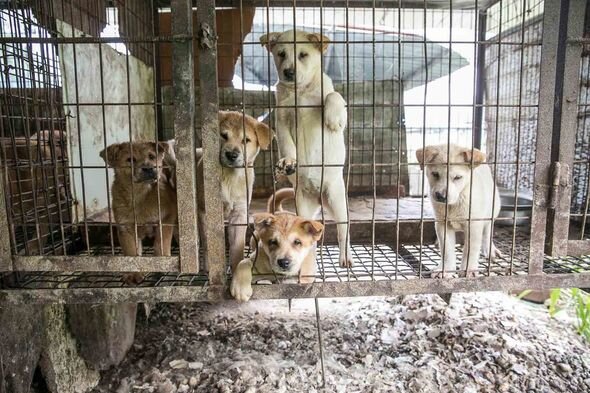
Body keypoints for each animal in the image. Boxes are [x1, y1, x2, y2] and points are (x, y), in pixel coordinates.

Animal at [100, 141, 178, 282]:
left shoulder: (166, 218)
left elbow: (161, 243)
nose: (149, 168)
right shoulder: (126, 228)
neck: (140, 194)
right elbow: (131, 253)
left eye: (151, 156)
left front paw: (163, 263)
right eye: (130, 159)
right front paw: (133, 274)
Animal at [262, 28, 354, 266]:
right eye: (281, 54)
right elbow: (287, 144)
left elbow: (334, 95)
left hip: (337, 201)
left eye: (303, 55)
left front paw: (333, 118)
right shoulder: (282, 120)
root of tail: (317, 197)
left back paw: (345, 257)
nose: (289, 72)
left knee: (343, 232)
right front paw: (288, 162)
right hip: (302, 203)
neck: (300, 91)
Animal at [416, 144, 504, 276]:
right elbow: (446, 250)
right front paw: (445, 269)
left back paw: (490, 250)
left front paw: (469, 270)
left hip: (494, 208)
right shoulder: (442, 224)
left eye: (458, 177)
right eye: (435, 174)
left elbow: (470, 250)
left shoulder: (474, 226)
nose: (441, 196)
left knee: (488, 230)